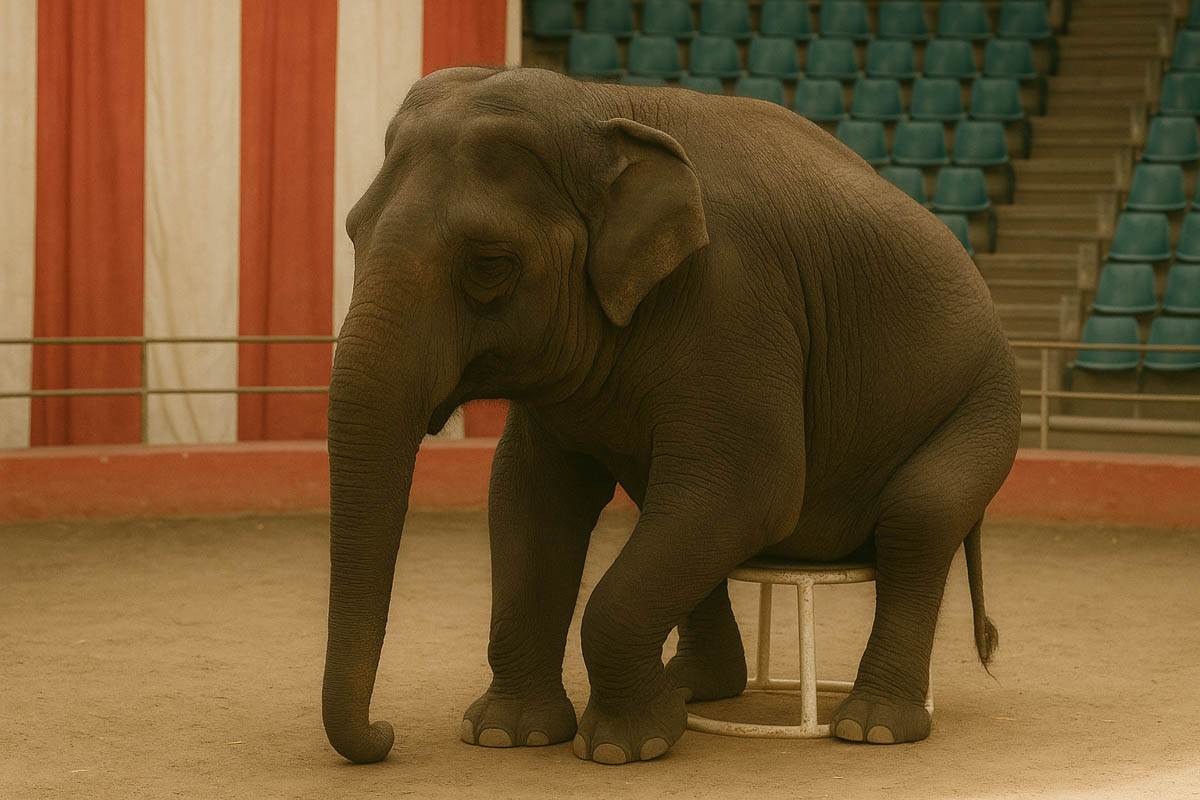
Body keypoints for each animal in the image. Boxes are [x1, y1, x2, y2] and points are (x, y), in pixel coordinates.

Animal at [322, 66, 1021, 767]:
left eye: (489, 264)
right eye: (351, 231)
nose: (386, 735)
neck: (601, 106)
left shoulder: (736, 298)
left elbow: (749, 491)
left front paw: (621, 748)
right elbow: (530, 496)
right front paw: (505, 734)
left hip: (985, 399)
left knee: (919, 515)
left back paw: (870, 728)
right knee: (675, 507)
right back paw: (697, 689)